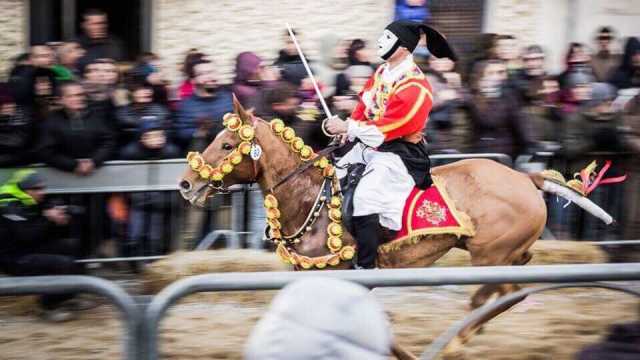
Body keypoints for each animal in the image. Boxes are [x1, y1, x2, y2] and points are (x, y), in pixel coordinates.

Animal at [179, 97, 616, 356]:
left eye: (226, 144)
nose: (186, 183)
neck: (310, 197)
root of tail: (526, 178)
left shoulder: (348, 276)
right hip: (502, 253)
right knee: (514, 287)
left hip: (489, 255)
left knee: (497, 294)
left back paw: (457, 341)